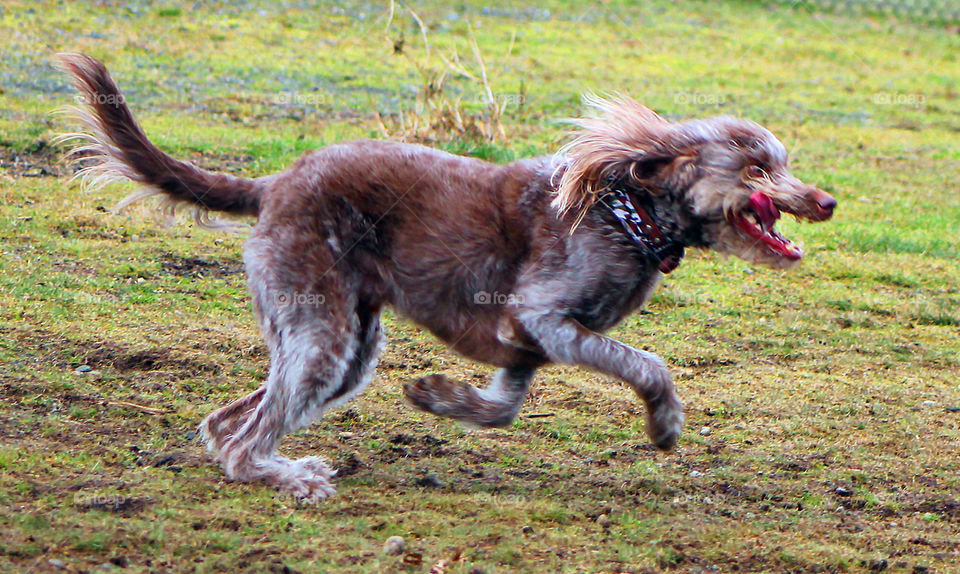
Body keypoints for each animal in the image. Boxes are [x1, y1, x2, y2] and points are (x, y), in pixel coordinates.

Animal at [56, 55, 832, 504]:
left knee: (225, 424)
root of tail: (276, 183)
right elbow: (650, 365)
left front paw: (438, 397)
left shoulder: (528, 346)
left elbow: (501, 408)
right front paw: (665, 423)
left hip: (347, 348)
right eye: (757, 167)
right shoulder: (547, 318)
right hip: (324, 337)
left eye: (784, 162)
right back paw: (292, 478)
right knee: (245, 443)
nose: (825, 201)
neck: (628, 212)